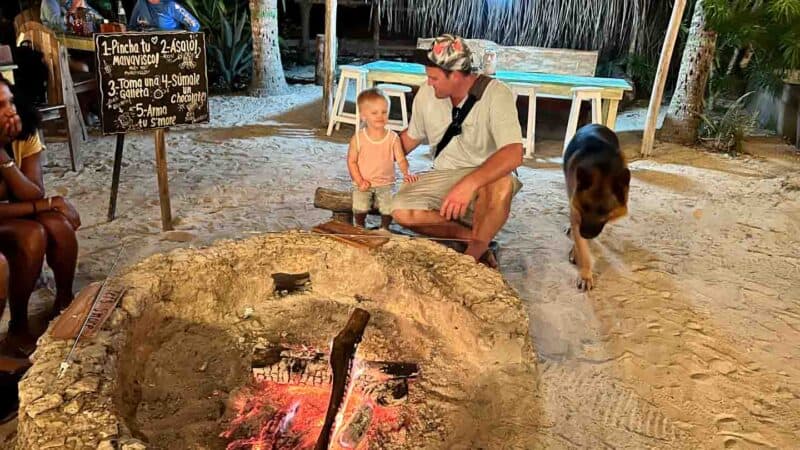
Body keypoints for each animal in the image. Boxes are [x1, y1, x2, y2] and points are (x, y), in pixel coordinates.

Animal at [564, 124, 632, 292]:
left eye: (604, 212)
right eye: (584, 207)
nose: (585, 234)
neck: (603, 170)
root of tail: (596, 124)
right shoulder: (576, 211)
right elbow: (582, 248)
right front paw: (585, 274)